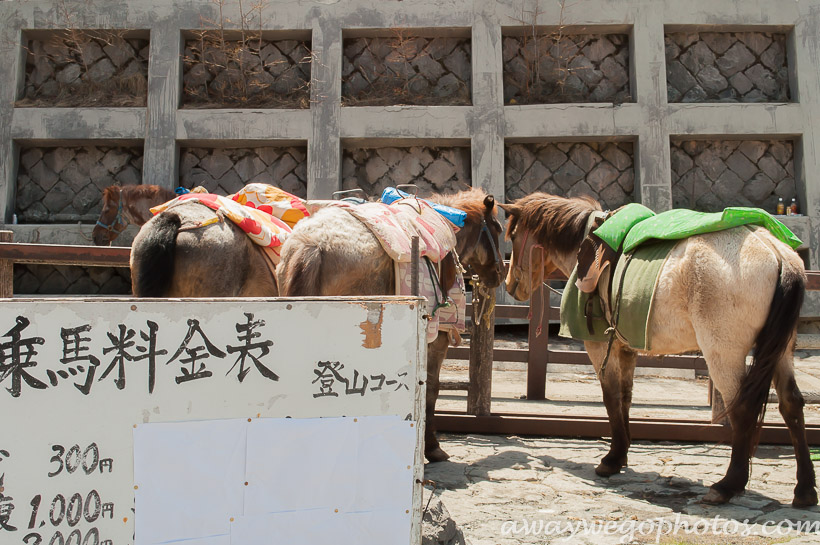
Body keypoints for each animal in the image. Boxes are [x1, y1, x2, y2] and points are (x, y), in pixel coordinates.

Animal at [278, 188, 506, 464]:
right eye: (497, 228)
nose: (499, 273)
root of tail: (314, 245)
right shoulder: (438, 336)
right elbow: (431, 388)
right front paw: (432, 447)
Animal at [496, 192, 816, 506]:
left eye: (513, 237)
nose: (509, 284)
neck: (585, 243)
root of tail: (775, 252)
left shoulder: (599, 346)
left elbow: (610, 397)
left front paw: (611, 460)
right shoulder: (624, 347)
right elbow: (625, 398)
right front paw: (621, 453)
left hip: (724, 353)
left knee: (743, 408)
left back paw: (728, 485)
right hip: (780, 350)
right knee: (791, 404)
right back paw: (804, 489)